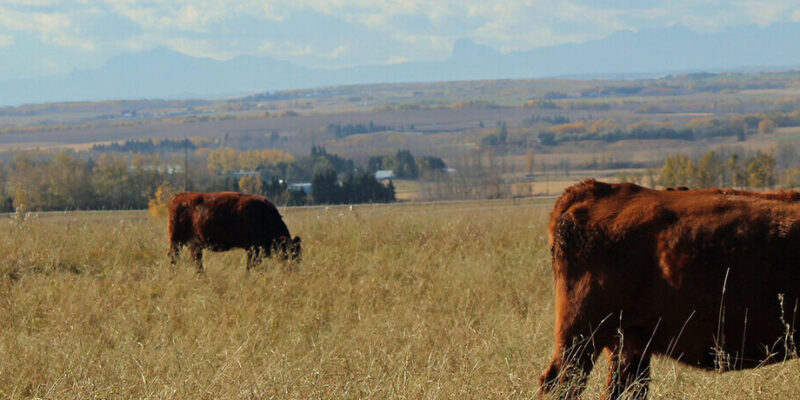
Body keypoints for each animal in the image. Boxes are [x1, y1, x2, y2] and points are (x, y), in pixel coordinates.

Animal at [167, 192, 302, 270]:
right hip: (176, 242)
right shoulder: (253, 249)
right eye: (290, 253)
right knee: (173, 257)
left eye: (299, 256)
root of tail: (178, 197)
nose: (294, 269)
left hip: (195, 245)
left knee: (197, 261)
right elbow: (251, 266)